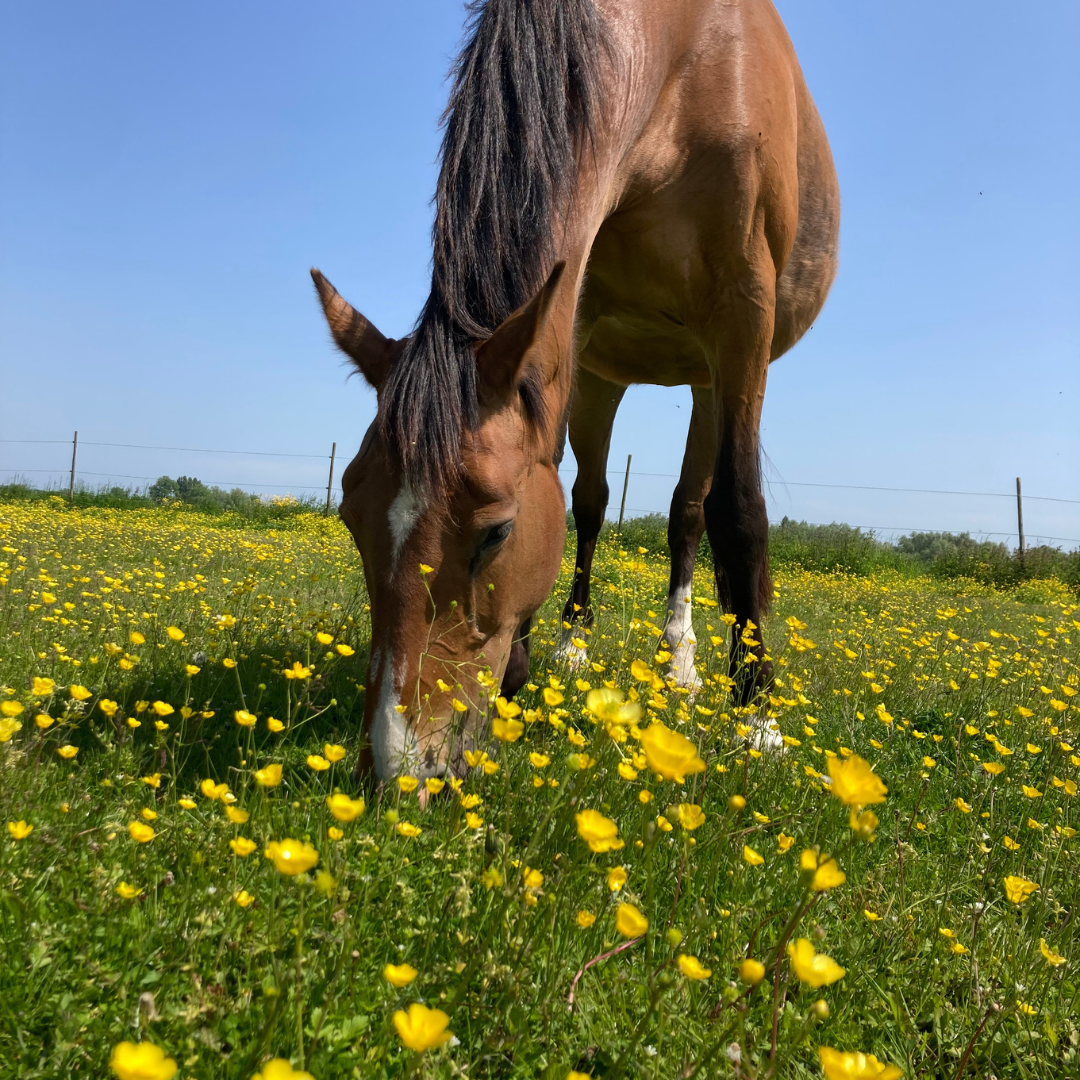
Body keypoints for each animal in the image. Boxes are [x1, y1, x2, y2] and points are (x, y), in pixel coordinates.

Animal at [311, 0, 839, 788]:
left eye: (496, 532)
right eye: (351, 516)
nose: (398, 765)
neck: (691, 58)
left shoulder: (745, 311)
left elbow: (740, 510)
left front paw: (758, 720)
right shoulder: (575, 326)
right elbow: (561, 484)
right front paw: (528, 659)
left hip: (710, 379)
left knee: (691, 513)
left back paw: (681, 666)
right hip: (607, 376)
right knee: (592, 503)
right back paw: (574, 645)